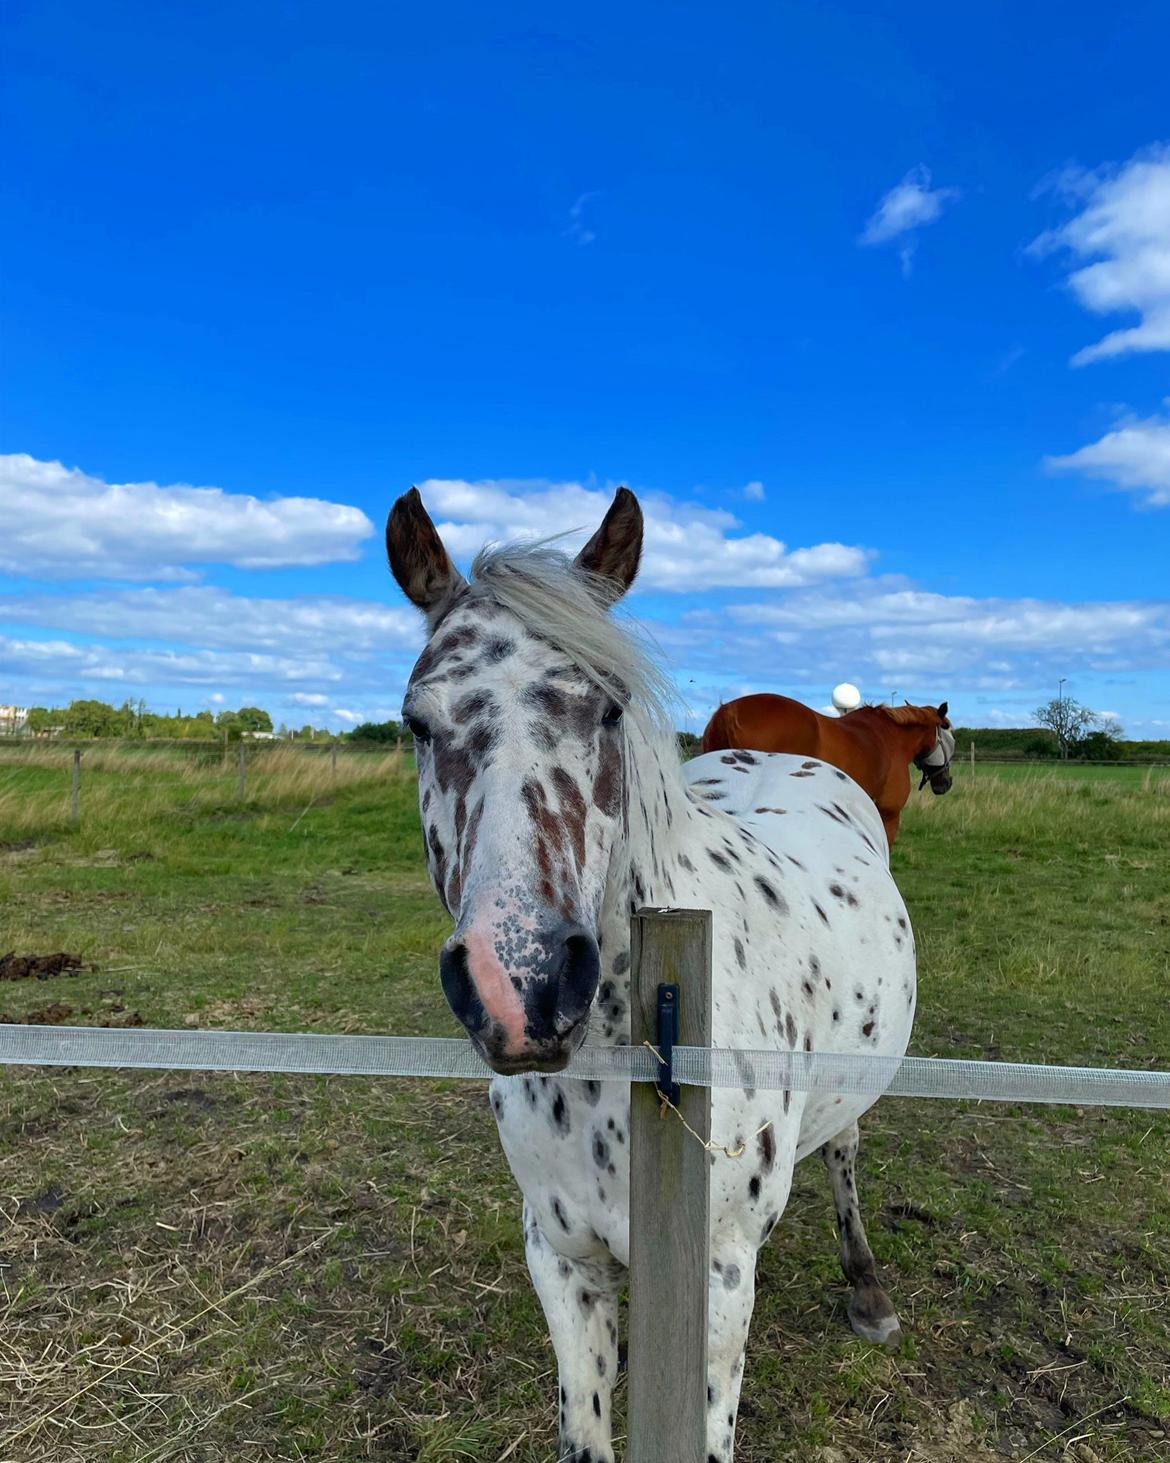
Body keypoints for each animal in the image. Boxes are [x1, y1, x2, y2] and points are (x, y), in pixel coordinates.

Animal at [389, 485, 918, 1457]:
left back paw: (866, 1283)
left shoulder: (718, 1280)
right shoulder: (562, 1260)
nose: (521, 987)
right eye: (417, 722)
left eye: (608, 710)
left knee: (846, 1148)